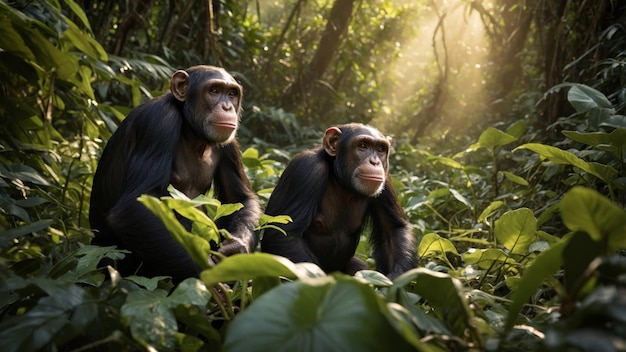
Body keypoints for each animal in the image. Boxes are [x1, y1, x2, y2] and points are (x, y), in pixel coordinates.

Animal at [89, 64, 260, 284]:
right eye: (214, 91)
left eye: (231, 94)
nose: (227, 107)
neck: (192, 132)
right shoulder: (158, 123)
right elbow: (133, 207)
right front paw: (209, 278)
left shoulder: (230, 144)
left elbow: (240, 198)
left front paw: (236, 251)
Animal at [258, 122, 414, 280]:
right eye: (362, 146)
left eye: (381, 149)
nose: (375, 162)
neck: (341, 182)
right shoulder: (305, 169)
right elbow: (285, 234)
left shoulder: (385, 181)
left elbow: (393, 230)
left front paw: (396, 280)